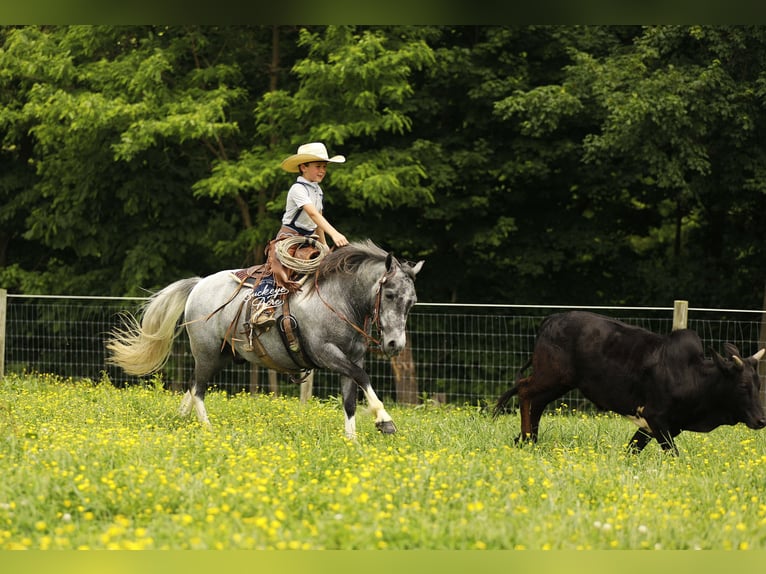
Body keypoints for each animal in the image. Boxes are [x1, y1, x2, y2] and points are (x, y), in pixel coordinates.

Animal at [106, 240, 424, 438]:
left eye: (412, 302)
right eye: (390, 295)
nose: (395, 345)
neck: (339, 299)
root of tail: (199, 284)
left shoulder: (350, 358)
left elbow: (350, 398)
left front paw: (352, 441)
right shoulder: (327, 354)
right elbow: (362, 378)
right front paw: (384, 420)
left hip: (223, 355)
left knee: (192, 386)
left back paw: (182, 418)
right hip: (206, 353)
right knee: (198, 389)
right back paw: (207, 428)